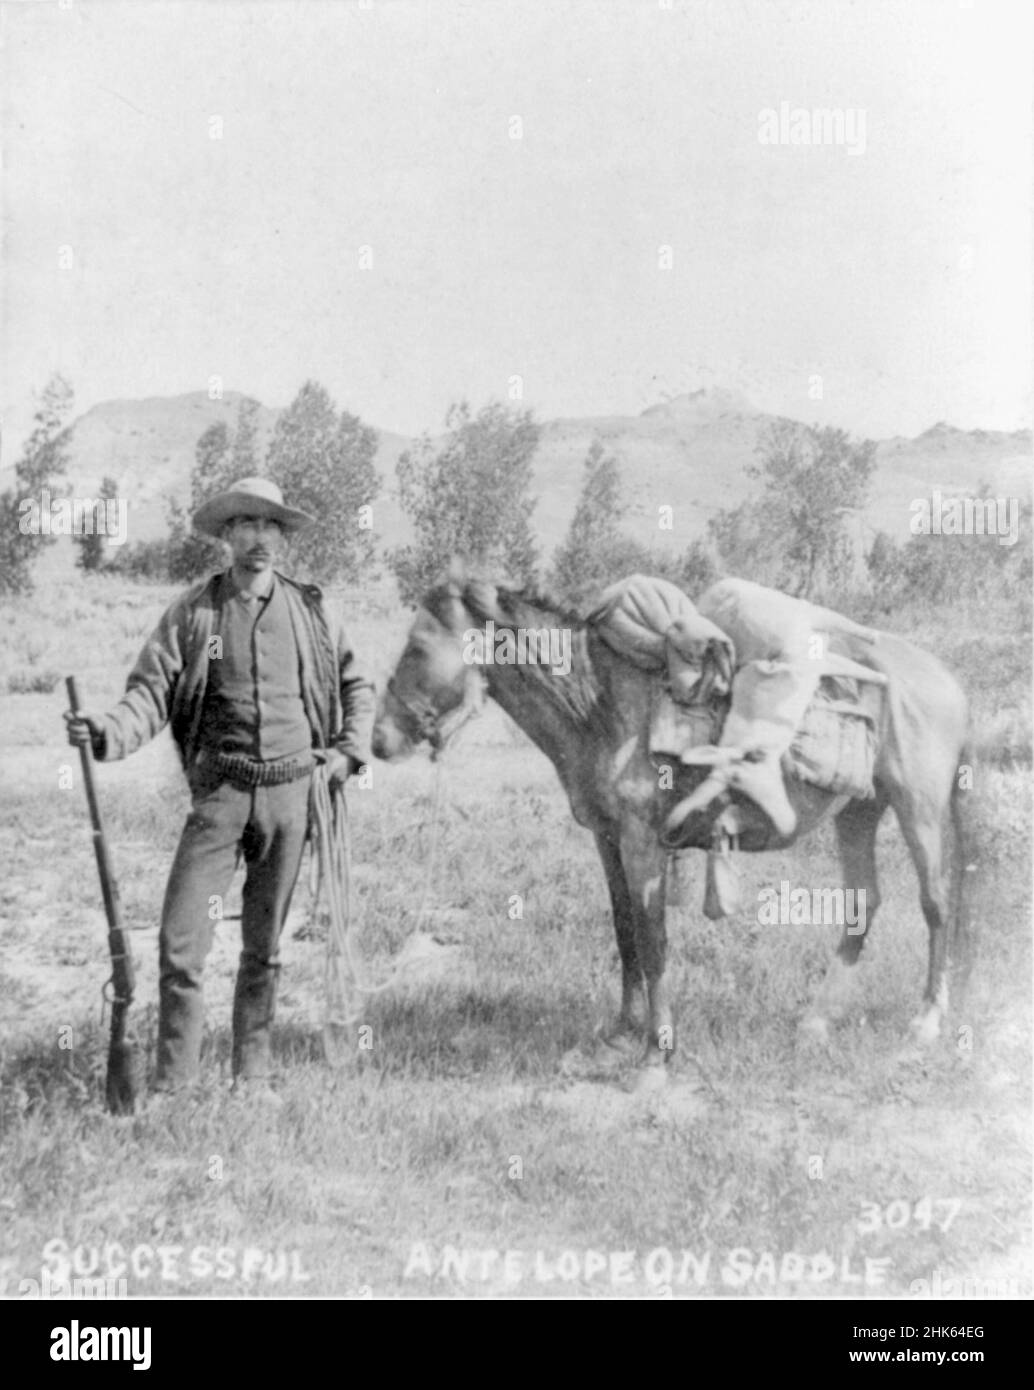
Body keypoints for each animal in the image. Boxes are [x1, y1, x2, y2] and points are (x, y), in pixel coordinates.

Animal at [375, 564, 972, 1084]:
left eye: (417, 648)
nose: (381, 740)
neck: (601, 705)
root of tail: (946, 678)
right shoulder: (607, 839)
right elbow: (624, 933)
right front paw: (620, 1035)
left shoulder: (643, 843)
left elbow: (653, 939)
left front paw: (656, 1055)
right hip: (858, 811)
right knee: (862, 904)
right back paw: (815, 1021)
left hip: (918, 807)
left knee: (936, 902)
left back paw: (925, 1024)